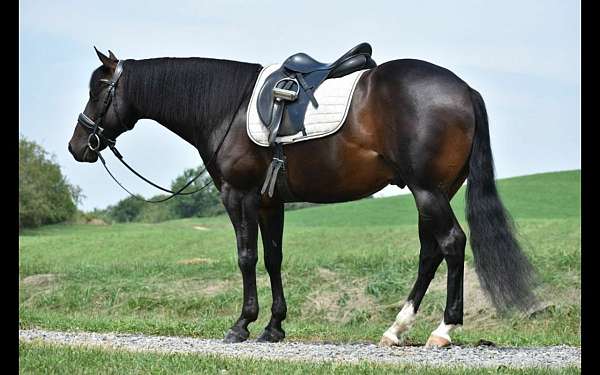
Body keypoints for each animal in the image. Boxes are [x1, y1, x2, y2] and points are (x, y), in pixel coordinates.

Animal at [68, 47, 536, 350]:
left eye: (98, 90)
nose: (78, 145)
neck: (228, 107)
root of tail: (464, 90)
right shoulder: (269, 202)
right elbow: (273, 258)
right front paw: (274, 326)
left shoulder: (238, 196)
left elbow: (246, 258)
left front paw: (242, 324)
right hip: (437, 192)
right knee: (430, 253)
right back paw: (396, 329)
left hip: (428, 191)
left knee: (452, 244)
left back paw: (443, 330)